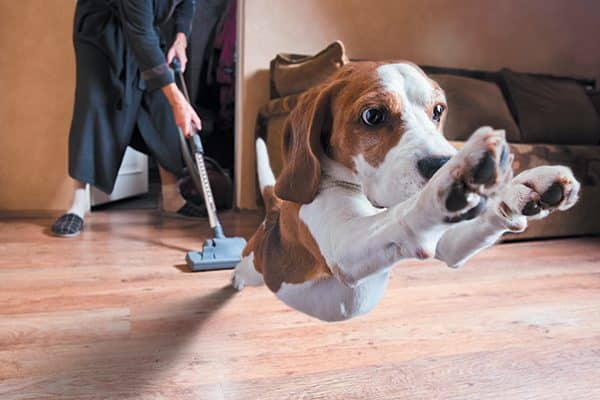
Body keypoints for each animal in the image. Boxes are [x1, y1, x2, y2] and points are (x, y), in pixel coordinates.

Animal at [233, 61, 580, 322]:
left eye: (438, 110)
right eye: (372, 115)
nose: (442, 162)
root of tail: (273, 213)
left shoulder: (447, 244)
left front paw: (523, 188)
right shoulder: (344, 244)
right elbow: (406, 212)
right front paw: (454, 178)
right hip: (255, 265)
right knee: (243, 266)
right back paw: (235, 278)